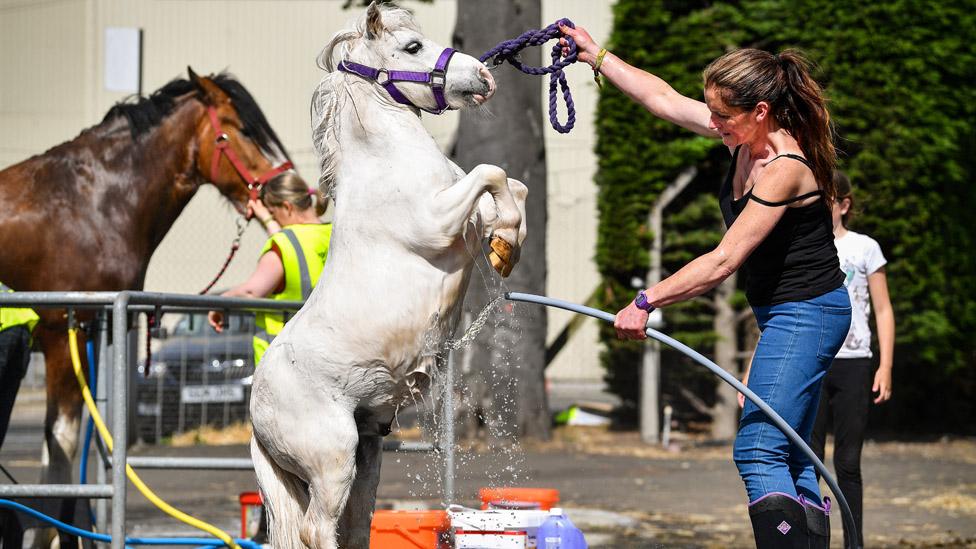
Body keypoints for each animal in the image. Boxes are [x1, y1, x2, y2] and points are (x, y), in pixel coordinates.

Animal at [248, 2, 528, 544]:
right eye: (413, 48)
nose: (484, 76)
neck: (388, 162)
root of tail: (255, 415)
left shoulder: (466, 219)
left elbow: (513, 186)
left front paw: (507, 246)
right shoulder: (438, 223)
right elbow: (492, 172)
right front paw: (506, 245)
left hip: (368, 455)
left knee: (354, 527)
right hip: (333, 459)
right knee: (317, 529)